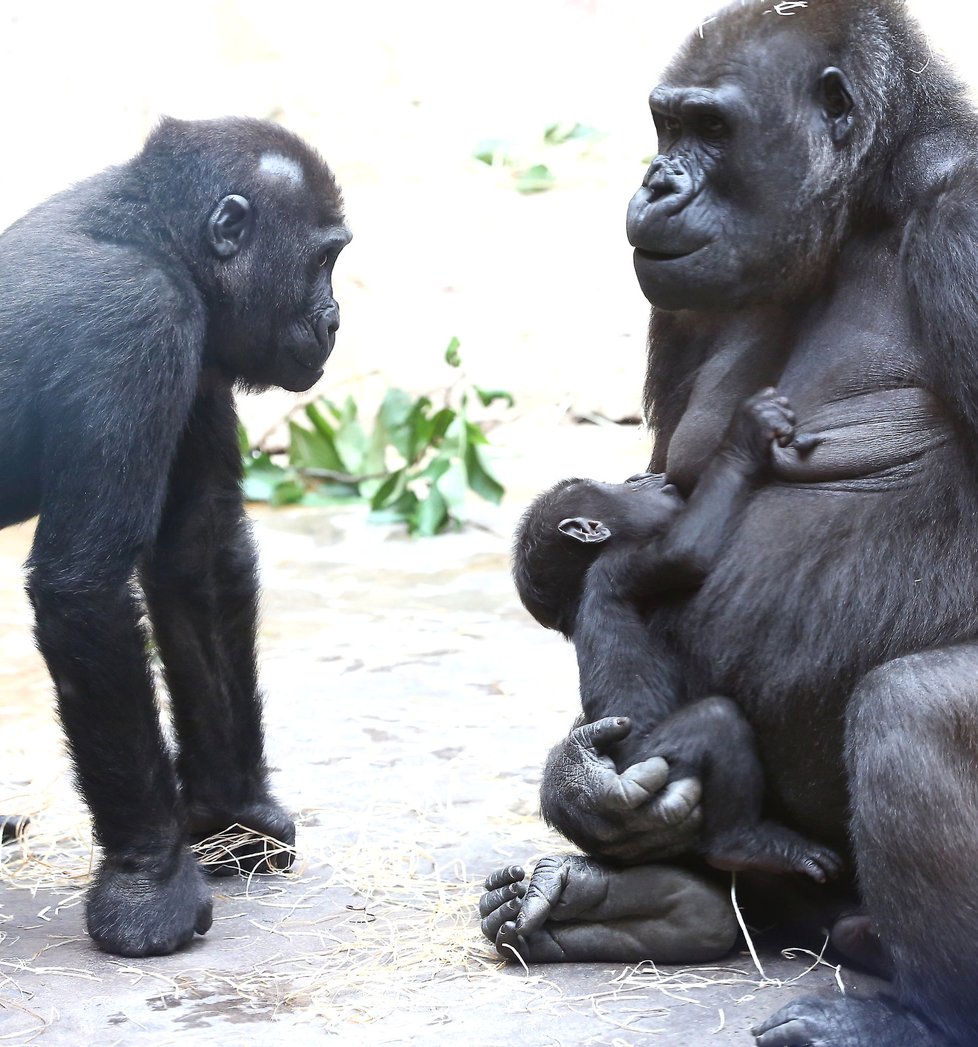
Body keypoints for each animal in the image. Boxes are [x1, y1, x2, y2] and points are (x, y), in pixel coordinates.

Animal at [0, 114, 351, 959]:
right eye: (324, 260)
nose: (335, 319)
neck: (153, 234)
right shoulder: (140, 323)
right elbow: (85, 585)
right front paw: (150, 882)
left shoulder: (201, 349)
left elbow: (196, 553)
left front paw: (234, 817)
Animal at [485, 2, 978, 1047]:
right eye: (666, 126)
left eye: (710, 129)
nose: (656, 181)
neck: (869, 198)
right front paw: (578, 787)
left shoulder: (969, 223)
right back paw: (635, 902)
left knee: (910, 710)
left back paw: (921, 1017)